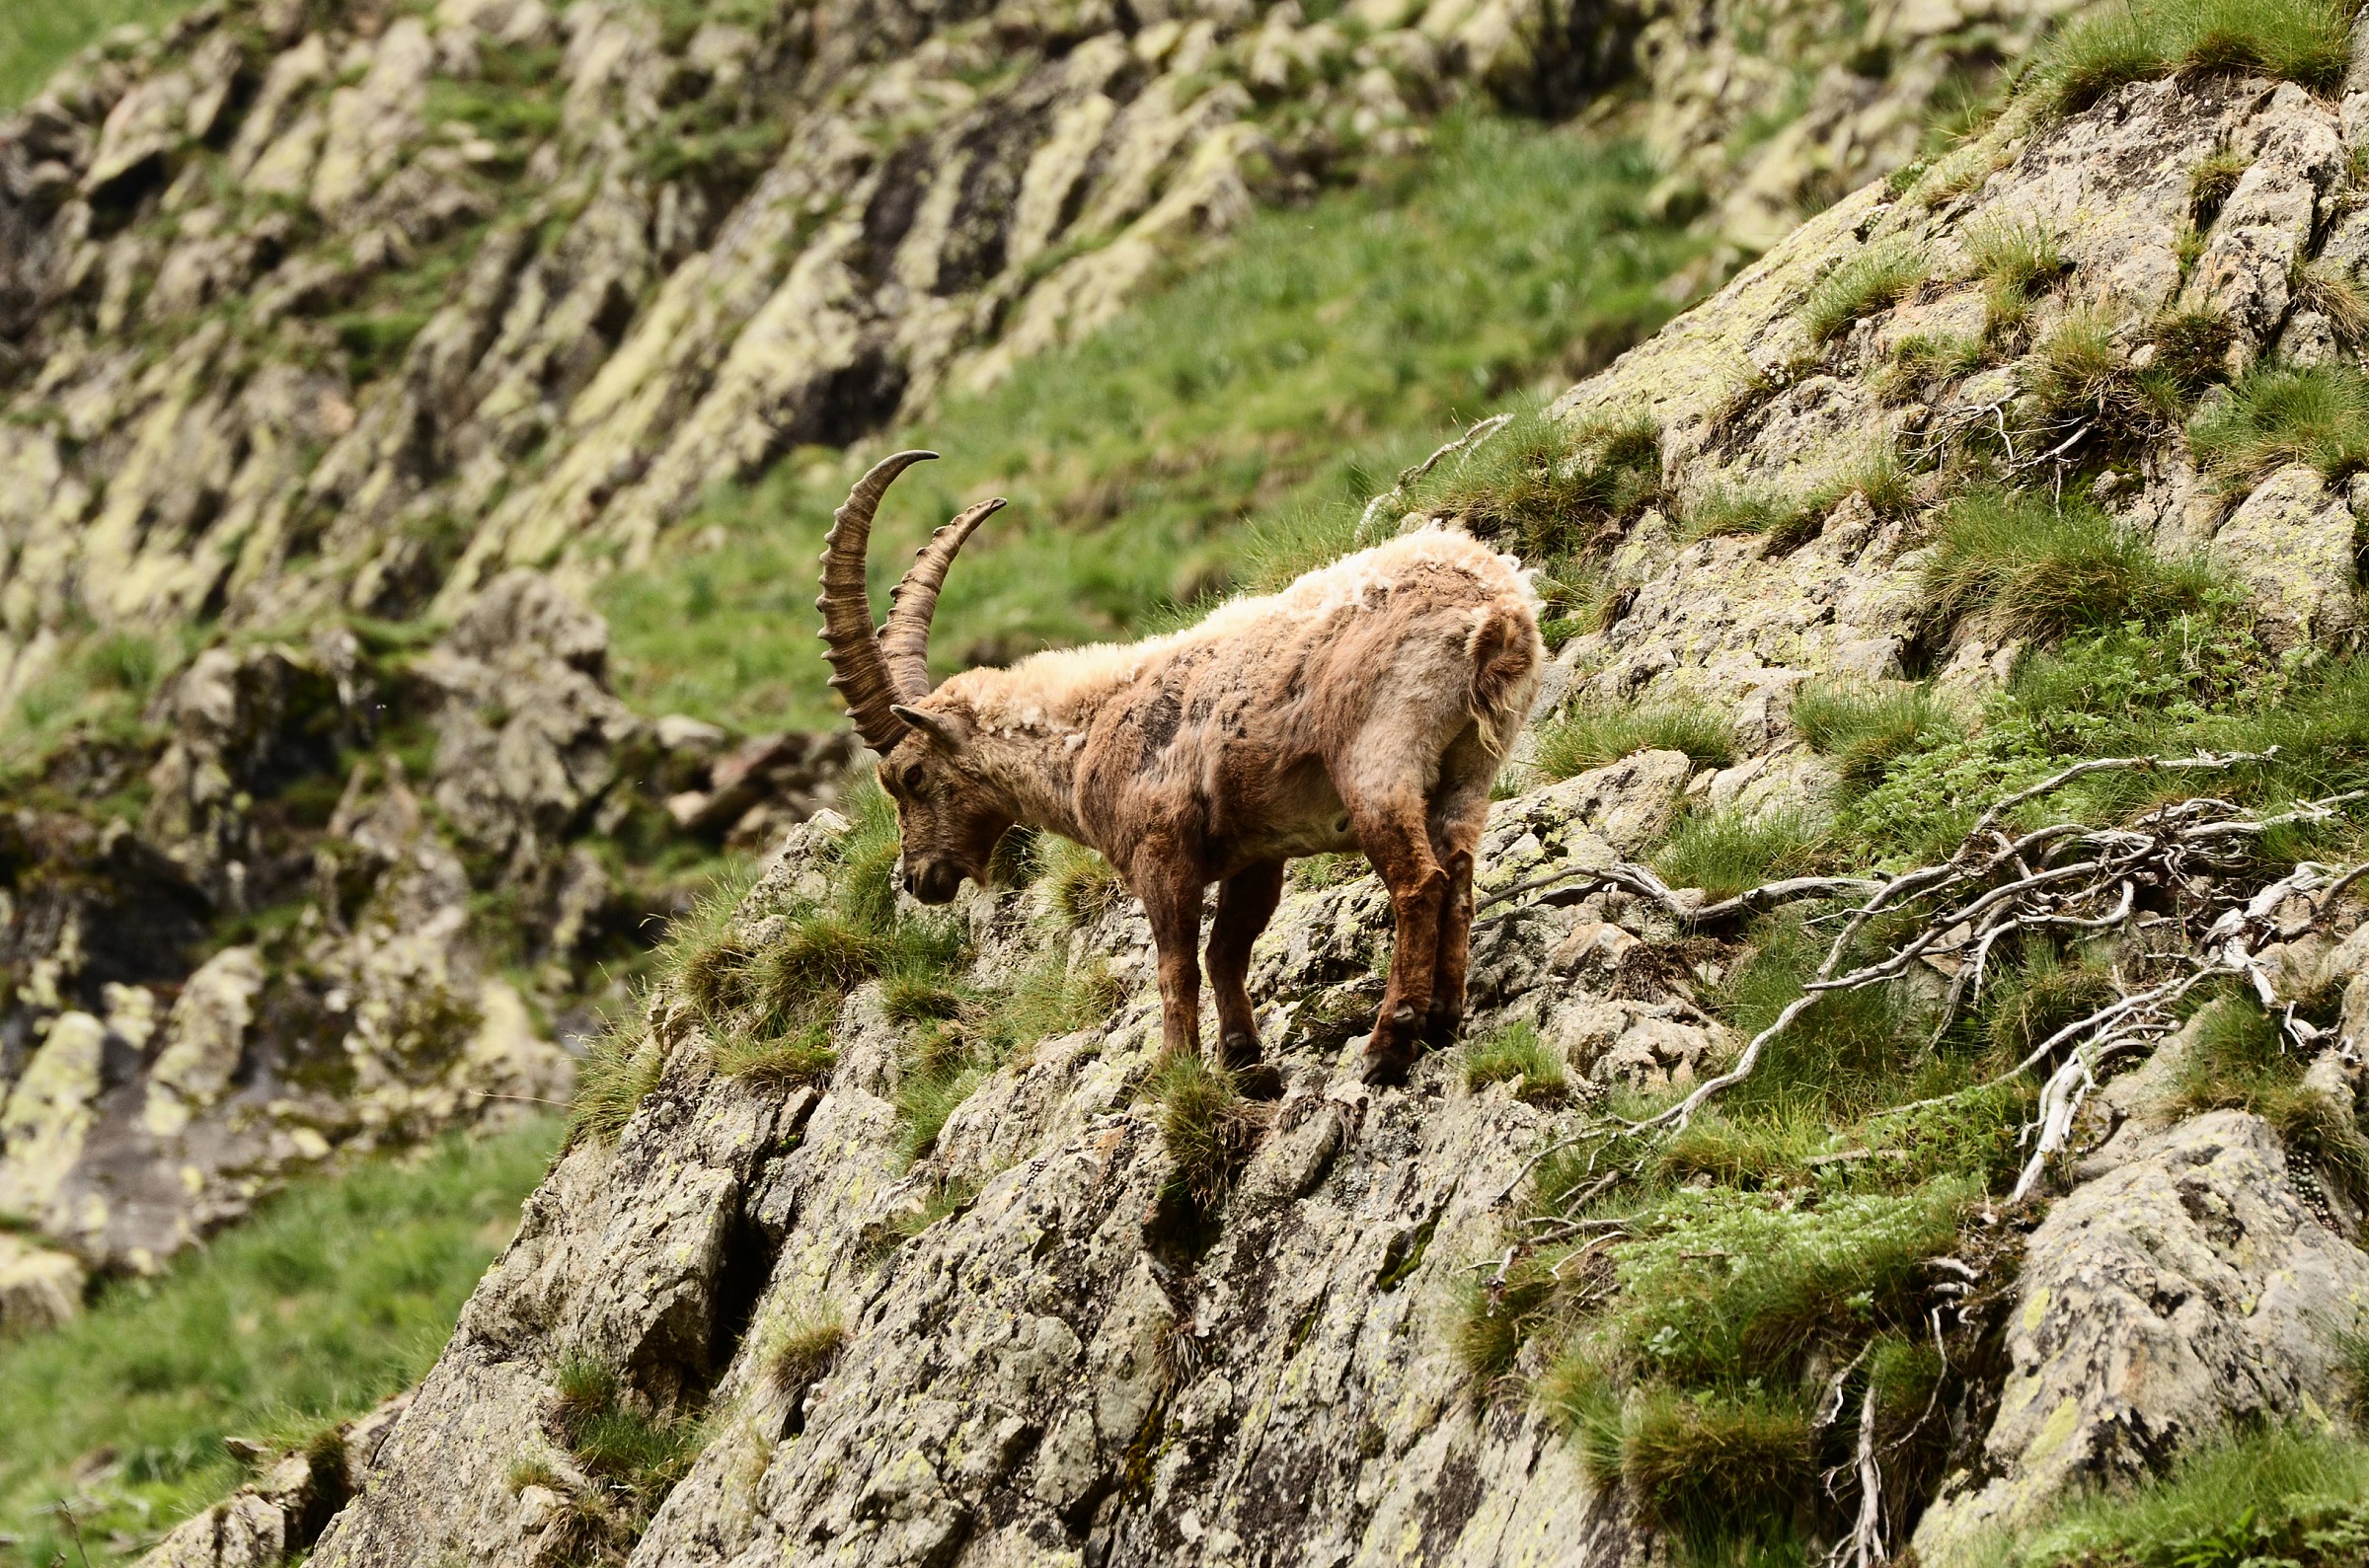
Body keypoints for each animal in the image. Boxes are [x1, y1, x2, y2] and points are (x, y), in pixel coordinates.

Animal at [818, 450, 1544, 1084]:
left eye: (910, 776)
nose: (917, 879)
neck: (1087, 730)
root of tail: (1498, 611)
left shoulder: (1160, 852)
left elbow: (1176, 965)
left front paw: (1171, 1070)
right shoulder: (1258, 854)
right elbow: (1226, 952)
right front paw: (1242, 1056)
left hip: (1378, 757)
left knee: (1419, 882)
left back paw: (1389, 1041)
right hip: (1470, 768)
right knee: (1459, 874)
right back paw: (1444, 1018)